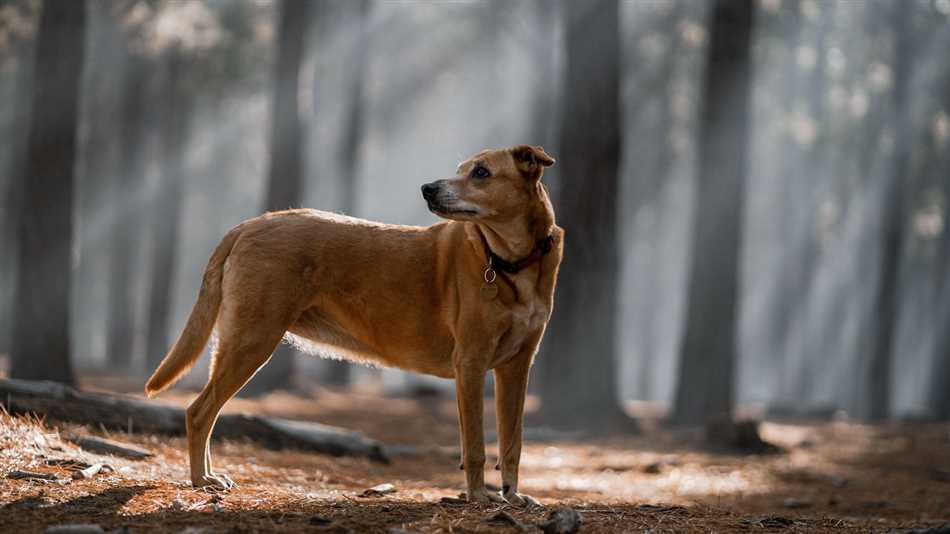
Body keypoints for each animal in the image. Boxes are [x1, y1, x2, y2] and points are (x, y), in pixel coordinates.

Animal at [147, 146, 564, 506]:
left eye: (481, 173)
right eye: (463, 170)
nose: (427, 188)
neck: (512, 263)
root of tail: (249, 224)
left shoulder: (516, 368)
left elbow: (512, 443)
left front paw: (513, 496)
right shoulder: (472, 363)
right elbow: (475, 445)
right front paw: (478, 498)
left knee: (205, 411)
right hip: (251, 339)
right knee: (199, 411)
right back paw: (202, 479)